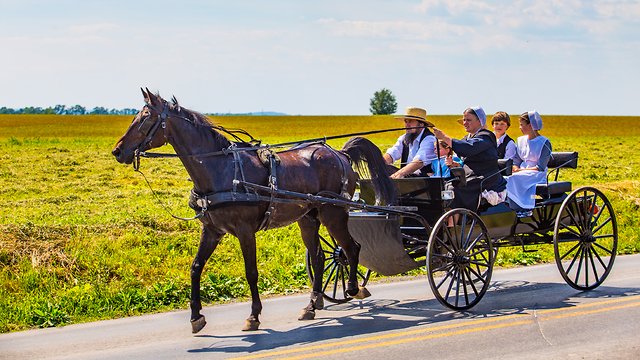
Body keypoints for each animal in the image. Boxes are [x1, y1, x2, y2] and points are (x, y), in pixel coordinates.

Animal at [112, 88, 398, 334]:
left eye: (145, 118)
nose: (117, 150)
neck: (221, 169)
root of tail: (339, 154)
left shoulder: (245, 230)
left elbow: (251, 272)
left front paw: (253, 316)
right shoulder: (212, 230)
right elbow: (195, 268)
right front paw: (196, 317)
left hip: (334, 213)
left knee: (351, 249)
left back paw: (353, 289)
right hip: (308, 218)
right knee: (318, 258)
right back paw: (312, 304)